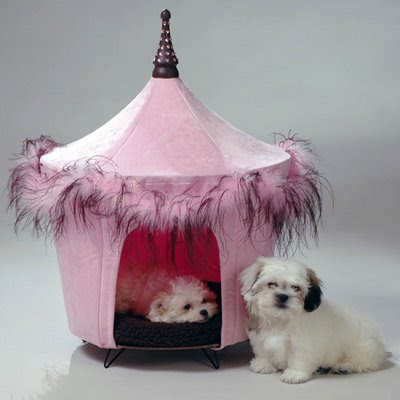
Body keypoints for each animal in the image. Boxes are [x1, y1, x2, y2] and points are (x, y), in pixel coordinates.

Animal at [240, 257, 386, 384]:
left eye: (296, 288)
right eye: (271, 284)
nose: (283, 296)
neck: (282, 320)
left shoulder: (304, 343)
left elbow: (300, 357)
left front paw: (294, 374)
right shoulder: (260, 336)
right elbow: (263, 350)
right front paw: (264, 364)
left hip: (361, 347)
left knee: (363, 361)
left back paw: (344, 366)